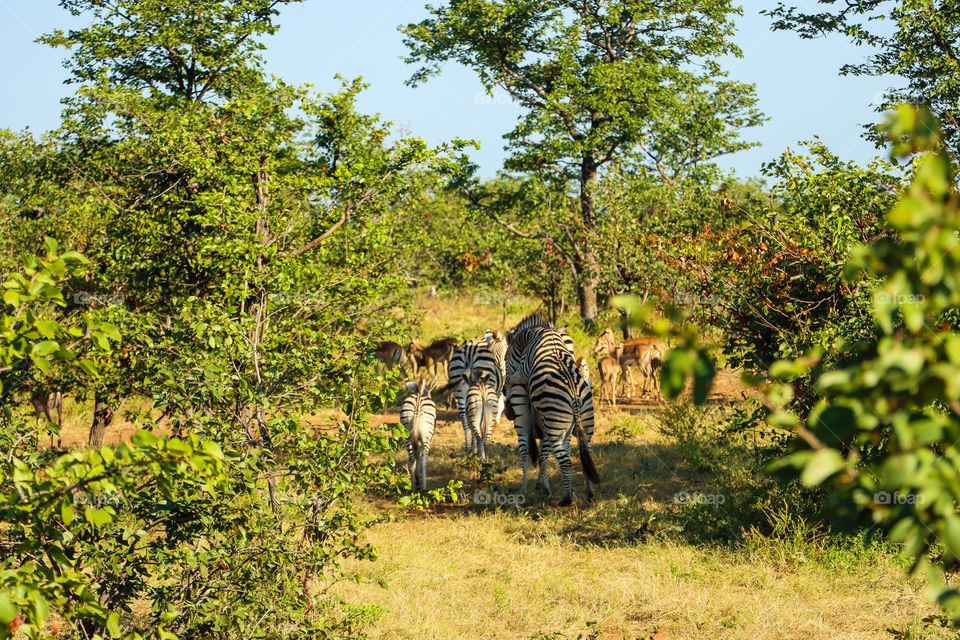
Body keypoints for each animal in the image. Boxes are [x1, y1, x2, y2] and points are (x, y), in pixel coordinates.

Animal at [506, 315, 599, 506]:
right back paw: (588, 493)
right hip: (582, 423)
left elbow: (515, 375)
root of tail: (575, 400)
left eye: (504, 359)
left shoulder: (524, 367)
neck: (536, 334)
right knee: (585, 453)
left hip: (551, 425)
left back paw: (564, 498)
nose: (505, 392)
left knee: (560, 459)